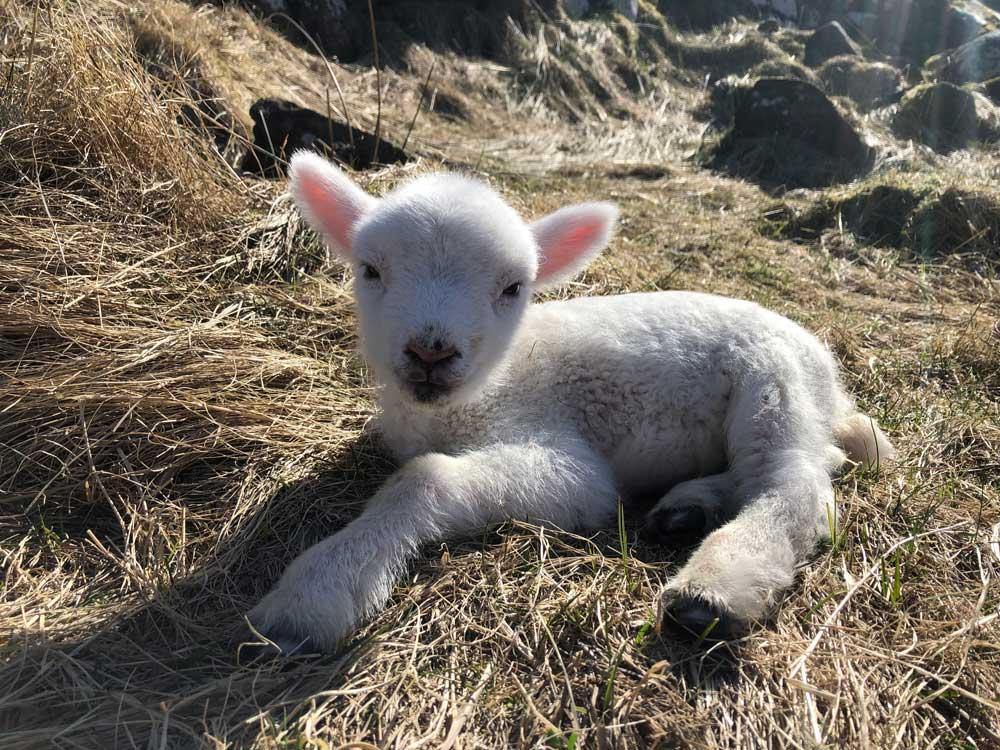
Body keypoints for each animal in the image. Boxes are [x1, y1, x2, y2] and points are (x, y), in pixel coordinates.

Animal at [246, 151, 895, 655]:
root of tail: (831, 382)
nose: (432, 352)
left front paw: (310, 596)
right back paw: (687, 507)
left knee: (797, 487)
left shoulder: (567, 460)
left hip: (773, 379)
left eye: (514, 289)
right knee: (798, 465)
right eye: (370, 270)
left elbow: (425, 478)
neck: (466, 402)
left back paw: (710, 591)